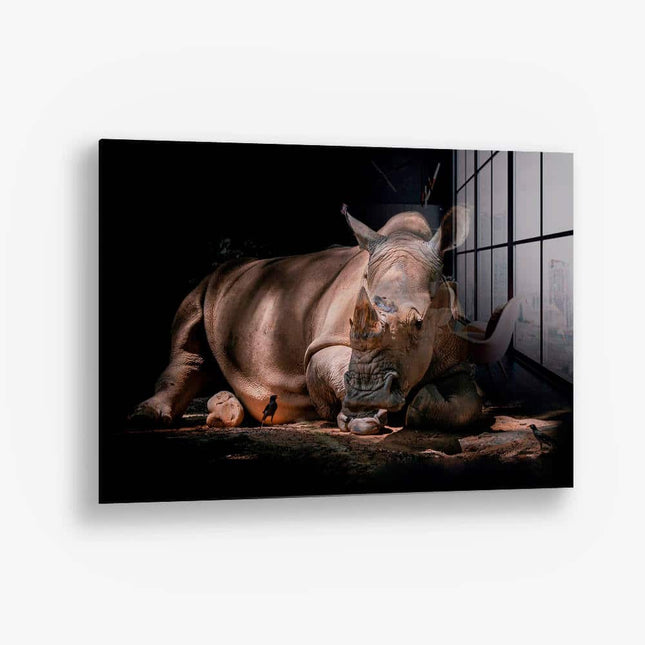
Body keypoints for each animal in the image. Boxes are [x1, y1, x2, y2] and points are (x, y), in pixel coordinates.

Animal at [132, 208, 482, 434]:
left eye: (419, 324)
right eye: (352, 322)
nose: (367, 397)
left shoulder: (455, 360)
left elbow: (468, 405)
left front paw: (419, 405)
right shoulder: (323, 346)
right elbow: (331, 365)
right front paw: (359, 420)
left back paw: (227, 410)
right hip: (209, 284)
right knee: (188, 347)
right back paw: (148, 418)